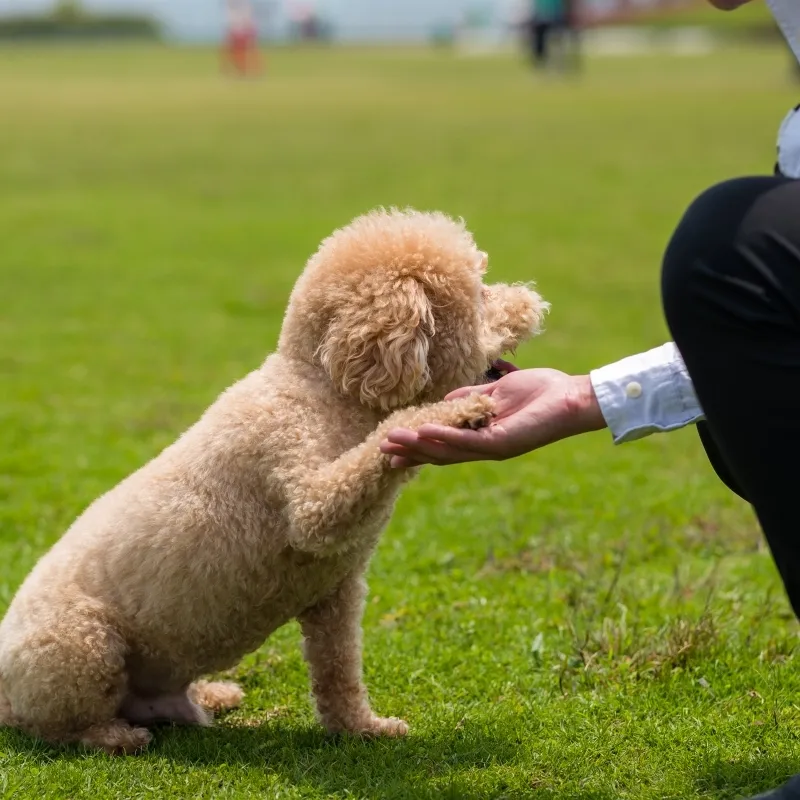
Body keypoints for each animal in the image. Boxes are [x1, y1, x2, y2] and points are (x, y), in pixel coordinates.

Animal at [0, 205, 548, 752]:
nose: (535, 303)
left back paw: (212, 695)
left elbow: (339, 671)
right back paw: (115, 736)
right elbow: (358, 466)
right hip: (80, 644)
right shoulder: (304, 490)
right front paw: (453, 415)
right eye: (480, 294)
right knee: (61, 725)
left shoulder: (336, 591)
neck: (324, 385)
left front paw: (362, 728)